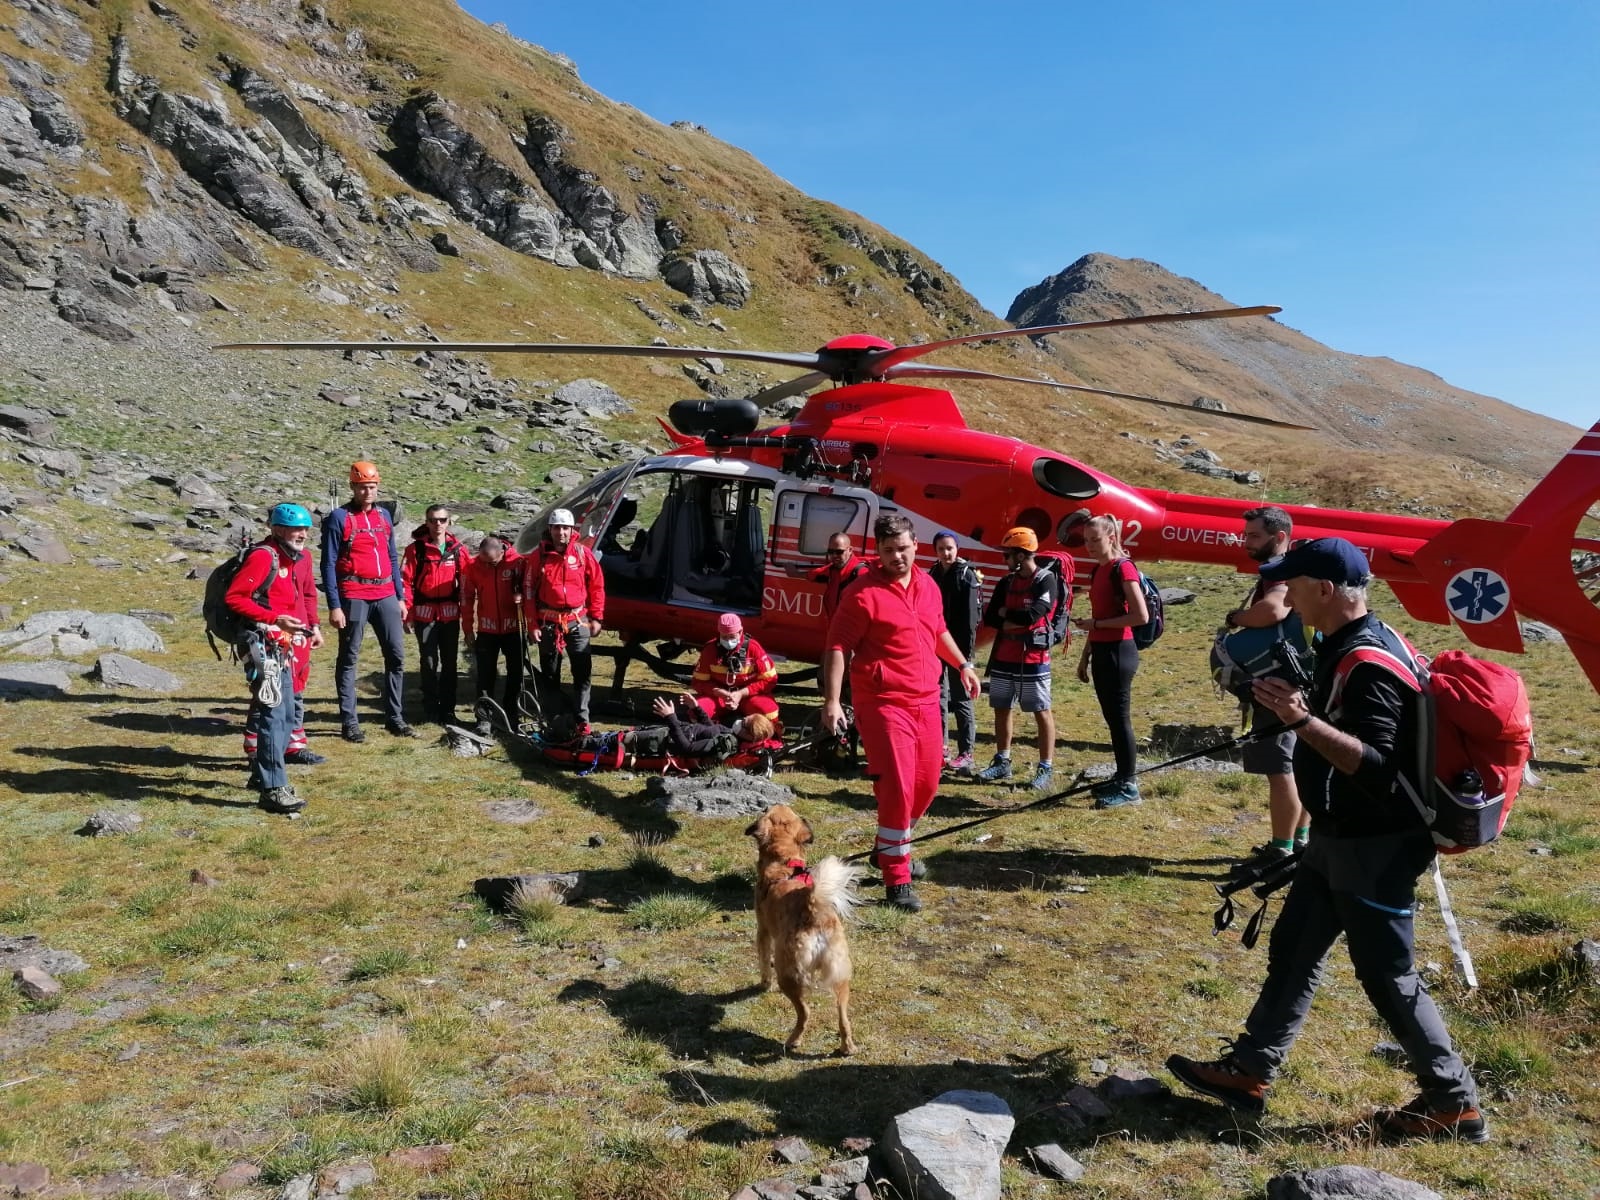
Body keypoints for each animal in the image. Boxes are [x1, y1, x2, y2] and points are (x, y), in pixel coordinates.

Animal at [745, 809, 864, 1049]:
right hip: (840, 974)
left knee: (805, 1012)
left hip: (788, 972)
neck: (784, 862)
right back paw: (847, 1047)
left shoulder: (763, 931)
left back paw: (793, 1041)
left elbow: (763, 962)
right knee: (843, 1017)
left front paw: (763, 985)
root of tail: (812, 908)